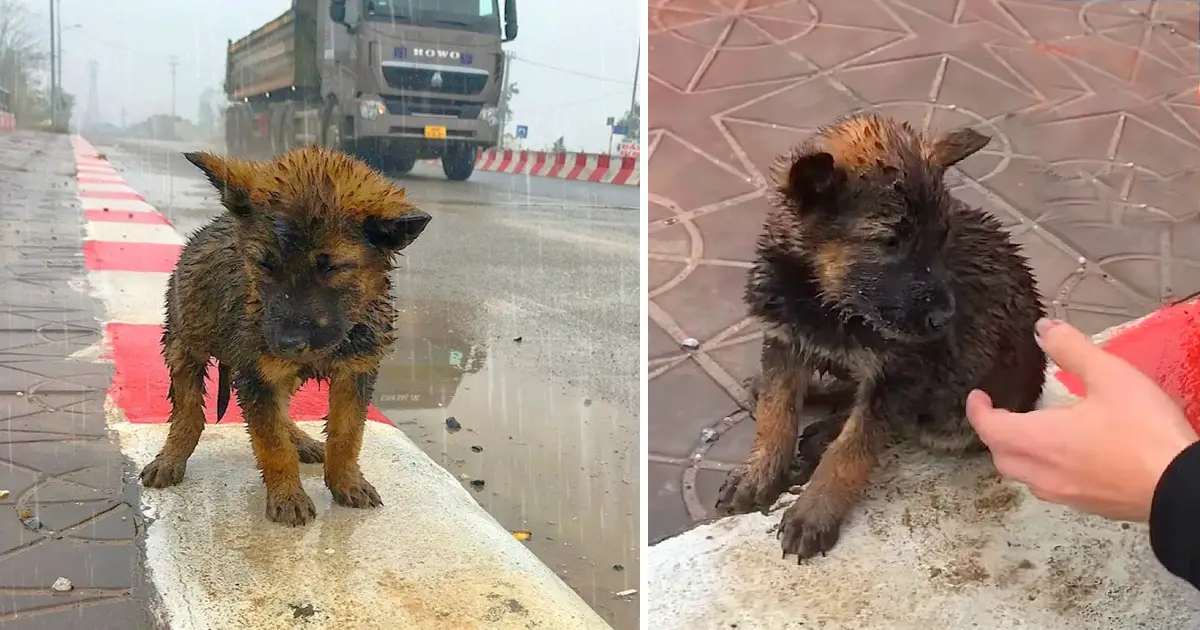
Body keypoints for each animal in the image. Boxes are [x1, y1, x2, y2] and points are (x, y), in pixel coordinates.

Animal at [140, 146, 432, 525]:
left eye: (331, 268)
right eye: (264, 265)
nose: (287, 345)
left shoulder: (356, 371)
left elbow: (347, 433)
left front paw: (347, 481)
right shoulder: (257, 375)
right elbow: (272, 443)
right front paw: (288, 495)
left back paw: (301, 439)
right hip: (184, 344)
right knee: (189, 414)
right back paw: (172, 457)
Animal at [715, 115, 1046, 561]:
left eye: (943, 236)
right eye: (890, 242)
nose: (945, 318)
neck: (824, 302)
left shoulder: (899, 376)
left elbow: (854, 448)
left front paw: (814, 511)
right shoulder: (784, 340)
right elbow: (776, 412)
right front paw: (759, 473)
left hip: (956, 415)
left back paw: (825, 430)